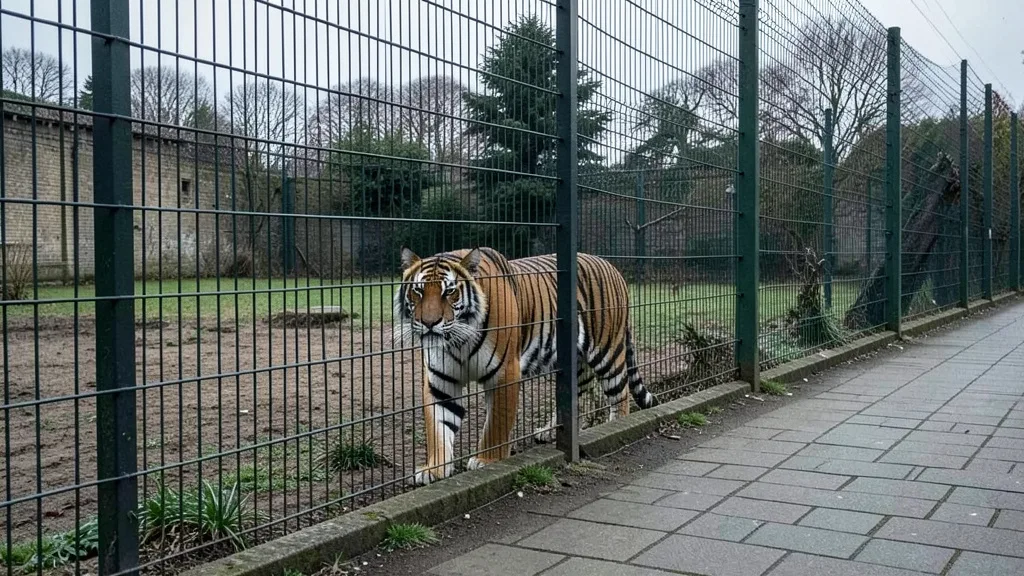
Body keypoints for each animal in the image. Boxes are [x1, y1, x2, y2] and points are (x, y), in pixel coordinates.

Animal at [394, 246, 659, 486]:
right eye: (418, 291)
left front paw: (487, 461)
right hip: (573, 360)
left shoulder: (505, 373)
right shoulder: (441, 382)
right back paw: (552, 430)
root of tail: (612, 266)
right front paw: (434, 469)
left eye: (449, 292)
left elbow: (496, 423)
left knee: (620, 396)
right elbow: (438, 427)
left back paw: (615, 427)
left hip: (608, 352)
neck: (458, 341)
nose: (429, 323)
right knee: (580, 394)